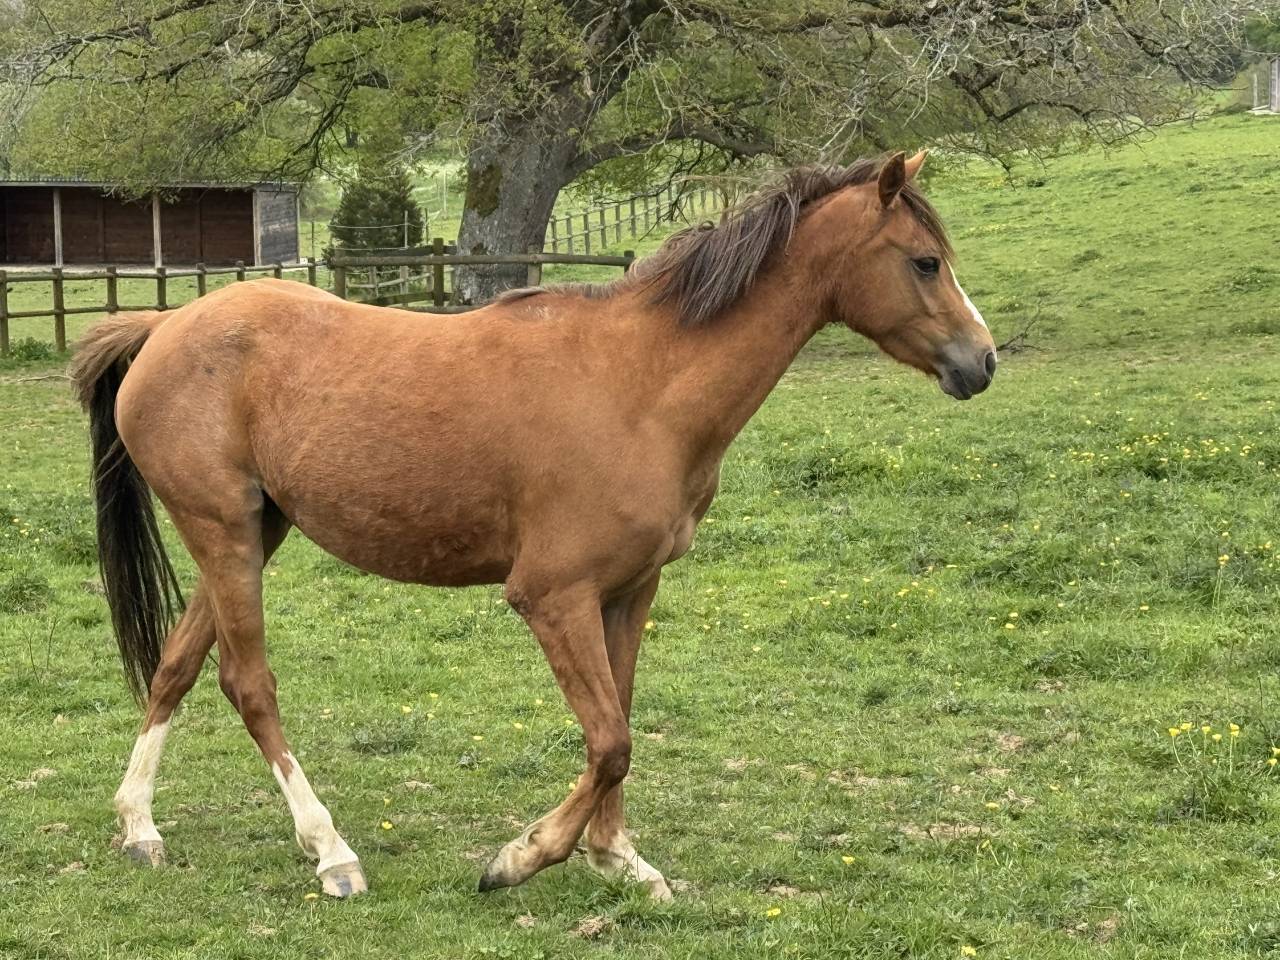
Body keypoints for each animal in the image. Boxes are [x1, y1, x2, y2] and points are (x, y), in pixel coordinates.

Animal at [71, 150, 996, 901]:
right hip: (224, 531)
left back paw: (140, 828)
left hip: (253, 535)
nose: (981, 362)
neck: (643, 383)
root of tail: (163, 325)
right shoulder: (553, 597)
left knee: (177, 666)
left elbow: (618, 720)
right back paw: (331, 851)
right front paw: (522, 857)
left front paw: (618, 859)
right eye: (925, 261)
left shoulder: (628, 592)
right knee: (247, 683)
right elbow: (612, 739)